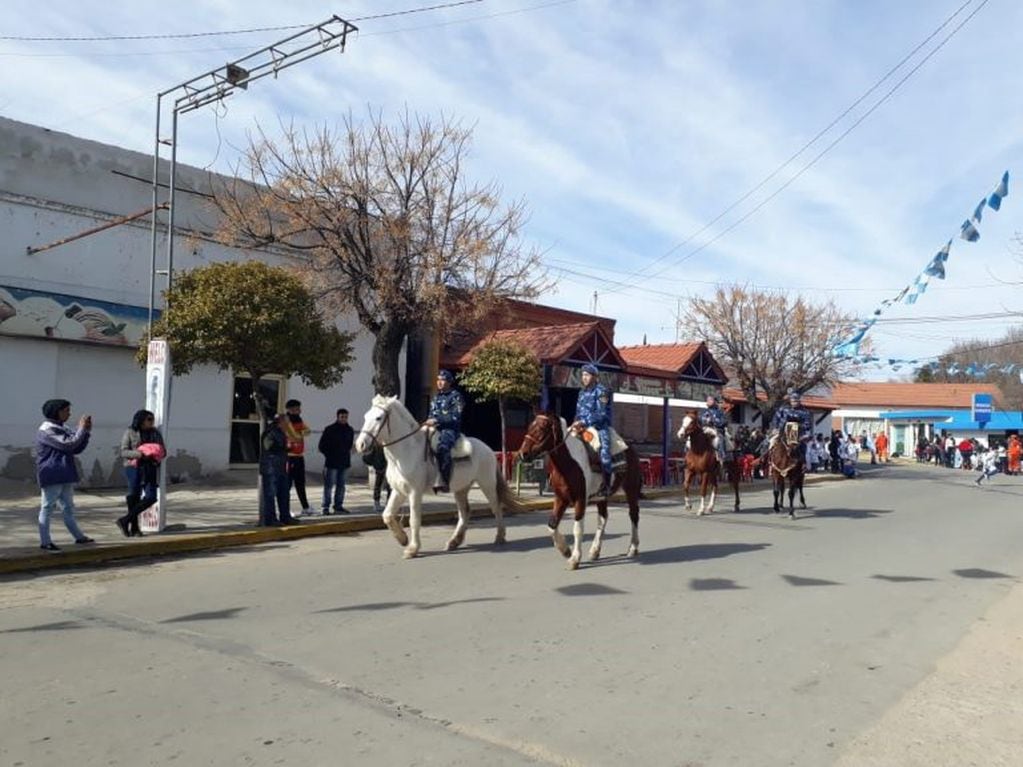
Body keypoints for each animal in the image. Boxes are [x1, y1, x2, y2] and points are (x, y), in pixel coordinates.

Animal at [356, 396, 523, 560]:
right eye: (365, 416)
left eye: (378, 418)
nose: (360, 444)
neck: (405, 451)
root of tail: (488, 449)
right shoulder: (399, 491)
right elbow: (387, 515)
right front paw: (402, 539)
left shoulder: (414, 492)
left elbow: (414, 520)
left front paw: (412, 549)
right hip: (461, 489)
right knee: (465, 512)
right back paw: (453, 542)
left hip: (487, 484)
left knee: (496, 507)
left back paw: (499, 536)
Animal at [519, 415, 638, 572]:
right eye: (529, 427)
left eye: (541, 429)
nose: (523, 454)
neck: (569, 463)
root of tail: (629, 446)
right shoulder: (561, 498)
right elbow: (552, 525)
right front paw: (565, 550)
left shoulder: (580, 499)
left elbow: (577, 529)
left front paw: (574, 559)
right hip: (602, 496)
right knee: (603, 518)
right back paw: (594, 550)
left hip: (631, 488)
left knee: (633, 515)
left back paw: (633, 548)